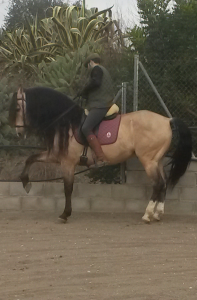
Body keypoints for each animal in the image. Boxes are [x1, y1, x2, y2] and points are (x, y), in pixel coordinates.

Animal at [8, 86, 192, 223]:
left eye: (17, 108)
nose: (18, 133)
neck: (66, 121)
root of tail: (167, 120)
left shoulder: (68, 162)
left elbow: (68, 188)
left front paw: (65, 214)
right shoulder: (55, 156)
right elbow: (30, 159)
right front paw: (26, 183)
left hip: (148, 161)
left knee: (158, 184)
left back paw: (147, 215)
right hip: (157, 160)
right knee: (164, 183)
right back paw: (158, 213)